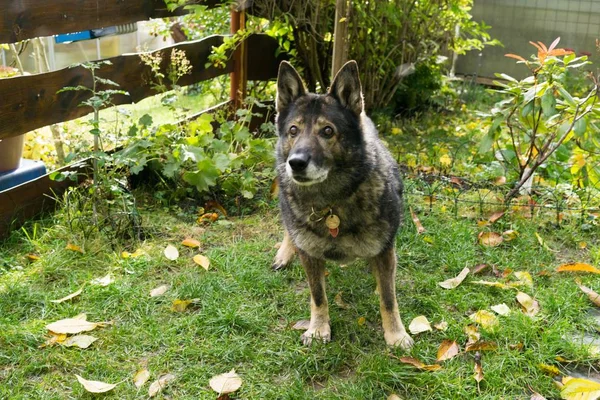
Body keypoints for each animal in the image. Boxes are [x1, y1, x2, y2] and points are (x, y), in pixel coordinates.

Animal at [272, 60, 412, 350]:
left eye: (327, 131)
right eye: (293, 130)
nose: (296, 163)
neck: (331, 204)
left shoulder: (385, 251)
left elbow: (388, 298)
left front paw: (395, 334)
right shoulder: (310, 256)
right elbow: (318, 296)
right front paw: (318, 329)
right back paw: (285, 251)